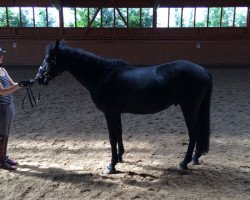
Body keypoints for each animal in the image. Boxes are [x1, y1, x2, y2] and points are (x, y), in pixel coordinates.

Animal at [35, 39, 212, 174]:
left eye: (50, 59)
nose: (39, 78)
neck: (102, 75)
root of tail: (202, 69)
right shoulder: (116, 112)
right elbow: (119, 133)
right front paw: (120, 157)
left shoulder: (109, 112)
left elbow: (112, 137)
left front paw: (111, 165)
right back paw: (195, 158)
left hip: (188, 108)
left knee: (193, 134)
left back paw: (183, 163)